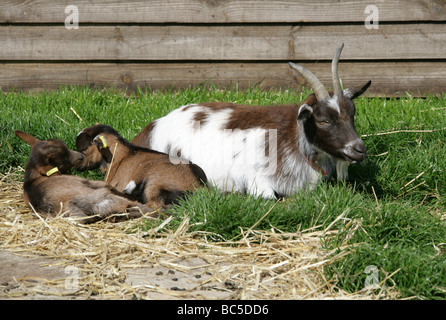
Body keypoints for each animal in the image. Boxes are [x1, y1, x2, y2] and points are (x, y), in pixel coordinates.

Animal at [75, 124, 207, 209]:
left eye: (84, 148)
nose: (77, 165)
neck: (122, 154)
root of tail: (199, 186)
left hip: (155, 182)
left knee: (154, 205)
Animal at [131, 42, 372, 198]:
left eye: (353, 113)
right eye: (322, 121)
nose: (359, 149)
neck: (294, 139)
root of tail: (151, 128)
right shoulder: (251, 176)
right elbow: (269, 196)